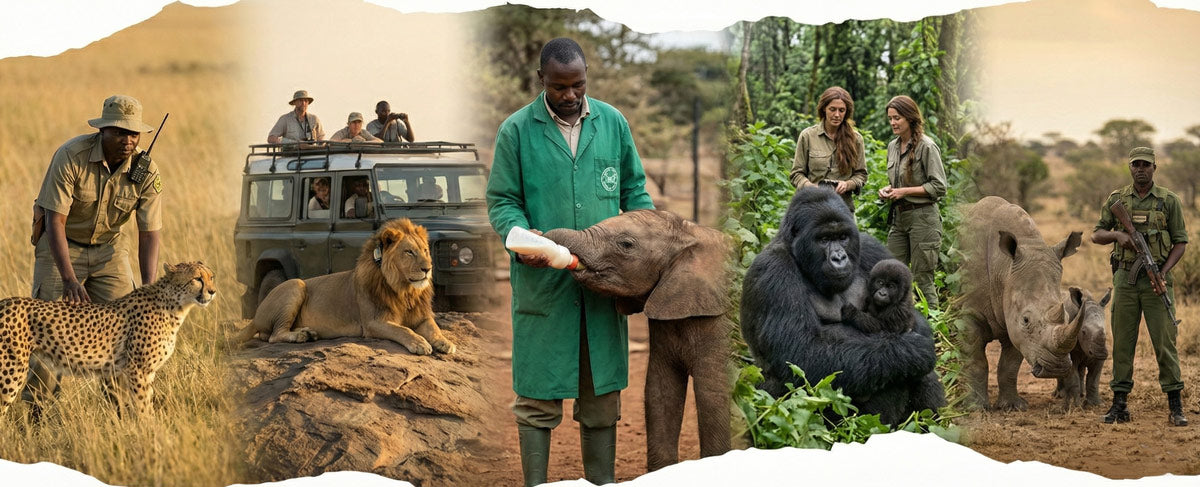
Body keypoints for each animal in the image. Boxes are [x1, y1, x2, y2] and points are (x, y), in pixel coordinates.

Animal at [235, 218, 455, 355]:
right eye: (409, 252)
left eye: (425, 250)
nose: (427, 269)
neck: (404, 290)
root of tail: (256, 315)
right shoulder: (373, 323)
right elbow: (403, 330)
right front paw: (420, 343)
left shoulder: (421, 316)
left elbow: (434, 328)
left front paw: (446, 342)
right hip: (296, 284)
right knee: (274, 335)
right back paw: (301, 336)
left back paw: (308, 333)